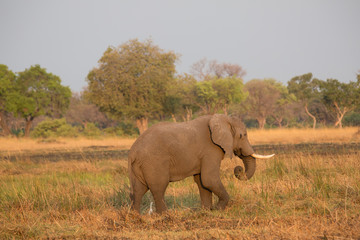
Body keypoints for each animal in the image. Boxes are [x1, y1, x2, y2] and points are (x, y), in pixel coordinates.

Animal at [128, 113, 274, 213]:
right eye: (242, 135)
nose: (238, 169)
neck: (222, 119)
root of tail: (133, 151)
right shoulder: (211, 149)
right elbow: (209, 179)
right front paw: (218, 209)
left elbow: (202, 182)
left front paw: (207, 211)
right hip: (154, 162)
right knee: (158, 187)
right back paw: (164, 215)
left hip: (138, 166)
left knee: (138, 190)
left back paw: (136, 216)